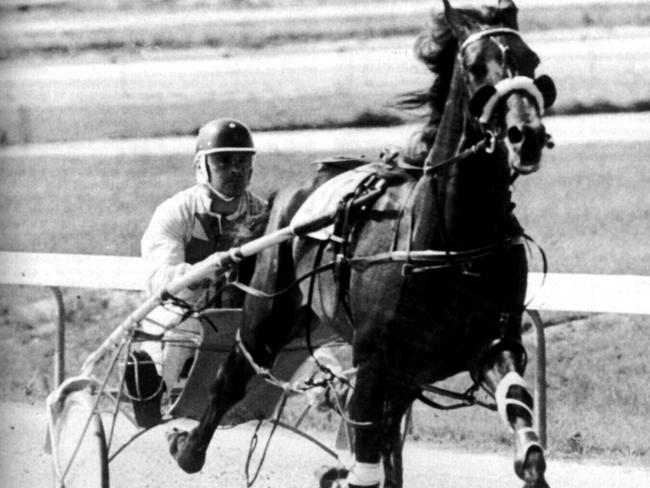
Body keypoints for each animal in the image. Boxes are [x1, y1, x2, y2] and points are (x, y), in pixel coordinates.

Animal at [167, 1, 556, 486]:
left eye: (532, 60)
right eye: (474, 67)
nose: (527, 135)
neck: (452, 243)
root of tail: (293, 189)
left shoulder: (490, 346)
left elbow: (524, 428)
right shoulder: (375, 365)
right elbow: (365, 447)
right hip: (270, 310)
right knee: (232, 376)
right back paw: (187, 449)